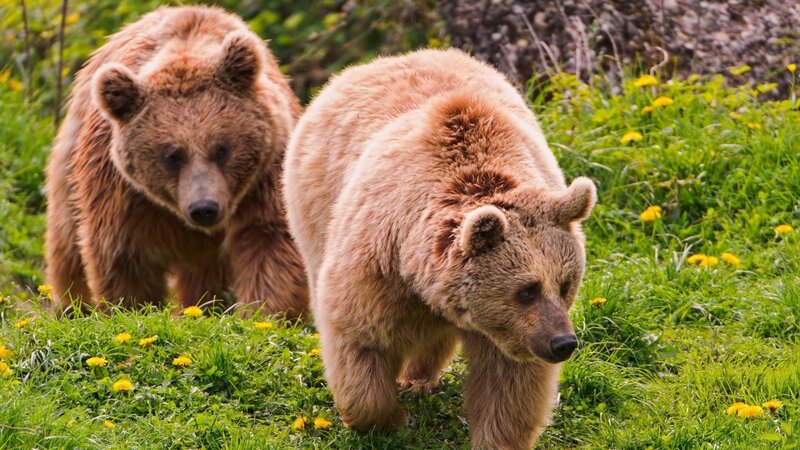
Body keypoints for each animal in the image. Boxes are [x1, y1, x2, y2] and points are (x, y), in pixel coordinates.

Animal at [45, 5, 307, 317]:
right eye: (172, 155)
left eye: (222, 148)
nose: (204, 208)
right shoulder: (124, 192)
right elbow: (124, 254)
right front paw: (133, 307)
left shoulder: (266, 175)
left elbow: (269, 241)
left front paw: (264, 313)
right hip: (70, 157)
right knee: (66, 238)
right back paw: (72, 305)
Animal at [283, 48, 596, 449]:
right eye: (527, 290)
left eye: (566, 284)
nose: (563, 343)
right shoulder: (379, 263)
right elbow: (360, 337)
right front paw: (388, 418)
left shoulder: (508, 331)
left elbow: (510, 383)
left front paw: (496, 437)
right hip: (314, 208)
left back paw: (419, 376)